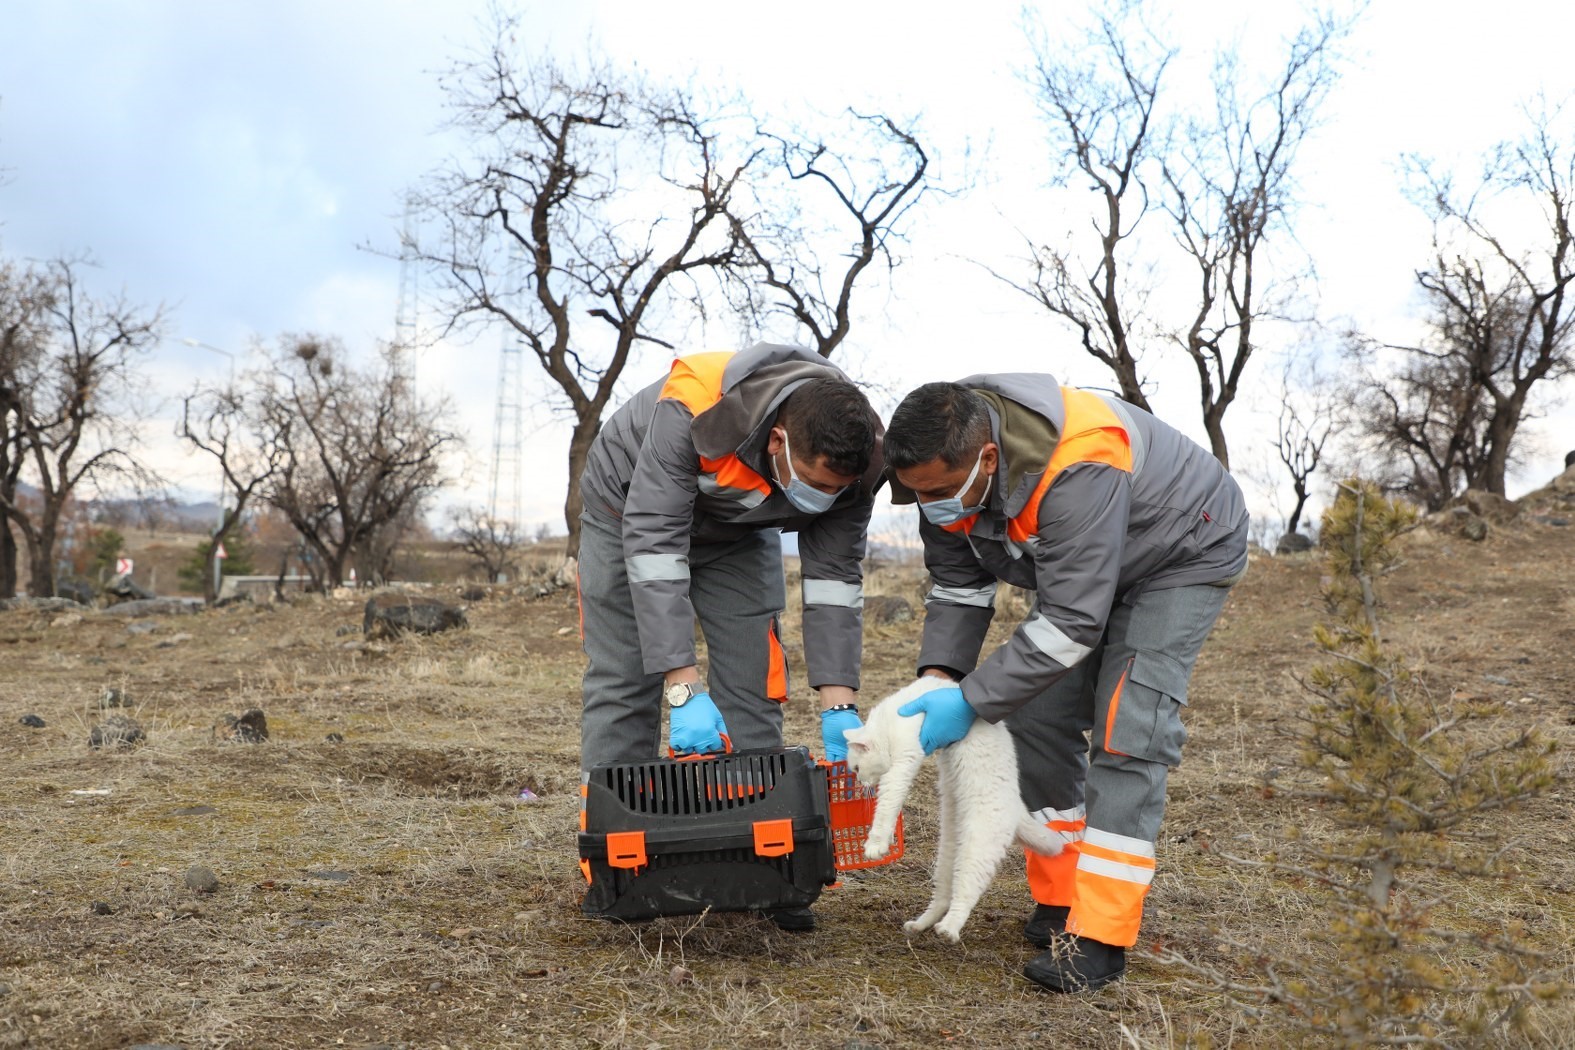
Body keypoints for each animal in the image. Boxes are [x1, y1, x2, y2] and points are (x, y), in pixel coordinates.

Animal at [844, 676, 1064, 950]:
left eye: (856, 768)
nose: (860, 783)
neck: (890, 718)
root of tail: (1018, 809)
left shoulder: (904, 761)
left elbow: (886, 806)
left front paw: (875, 846)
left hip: (977, 849)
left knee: (965, 894)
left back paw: (948, 929)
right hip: (946, 854)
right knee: (943, 897)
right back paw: (919, 925)